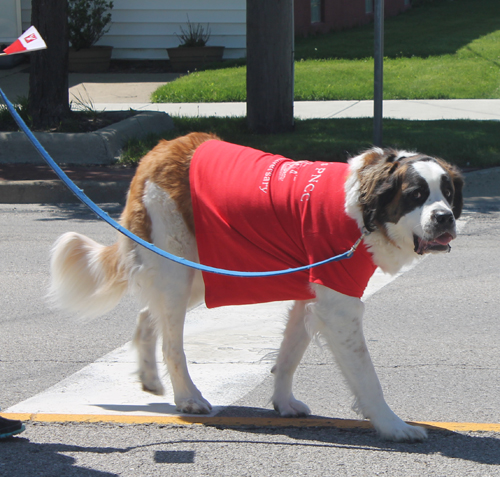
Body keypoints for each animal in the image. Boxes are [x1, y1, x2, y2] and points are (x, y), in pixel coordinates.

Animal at [48, 132, 462, 440]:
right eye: (416, 195)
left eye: (447, 194)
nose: (444, 218)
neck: (364, 211)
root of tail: (160, 149)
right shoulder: (339, 306)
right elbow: (367, 377)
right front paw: (393, 426)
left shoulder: (310, 293)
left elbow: (289, 355)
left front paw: (283, 402)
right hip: (178, 267)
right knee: (172, 341)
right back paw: (188, 398)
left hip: (198, 272)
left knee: (150, 315)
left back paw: (150, 378)